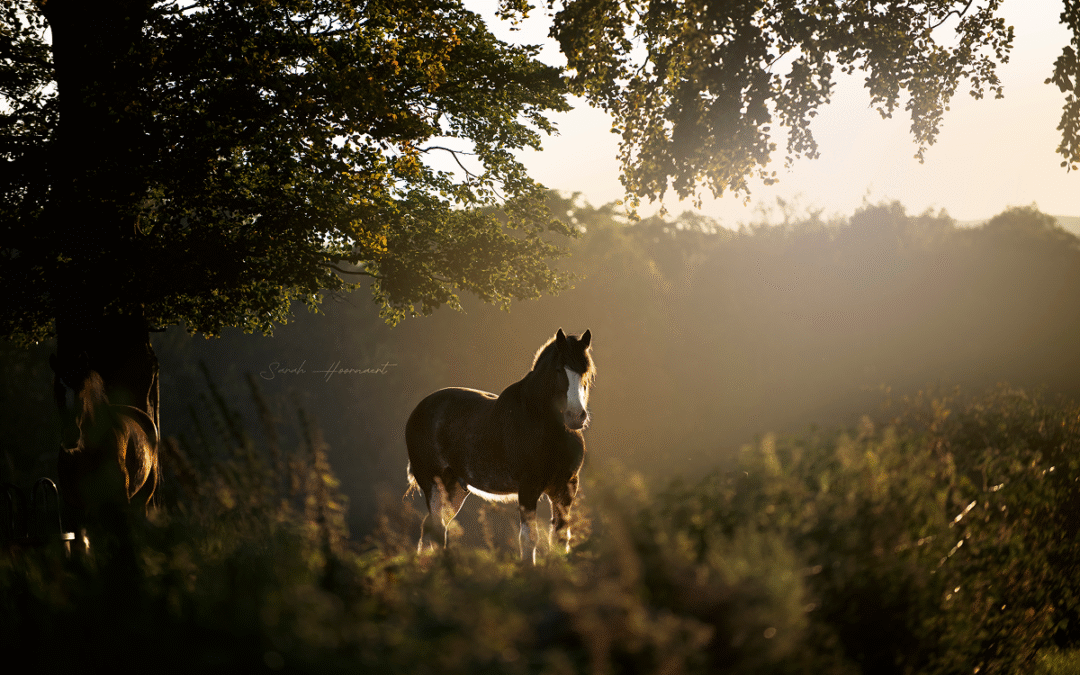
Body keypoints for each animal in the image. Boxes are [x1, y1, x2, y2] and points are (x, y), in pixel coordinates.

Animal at [50, 353, 160, 534]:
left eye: (83, 390)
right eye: (57, 391)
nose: (71, 435)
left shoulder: (119, 507)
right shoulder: (74, 511)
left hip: (142, 499)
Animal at [405, 328, 594, 563]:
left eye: (586, 370)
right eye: (559, 369)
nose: (576, 416)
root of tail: (418, 411)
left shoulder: (566, 488)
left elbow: (560, 538)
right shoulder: (528, 488)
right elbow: (529, 538)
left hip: (454, 489)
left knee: (431, 528)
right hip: (432, 483)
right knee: (437, 530)